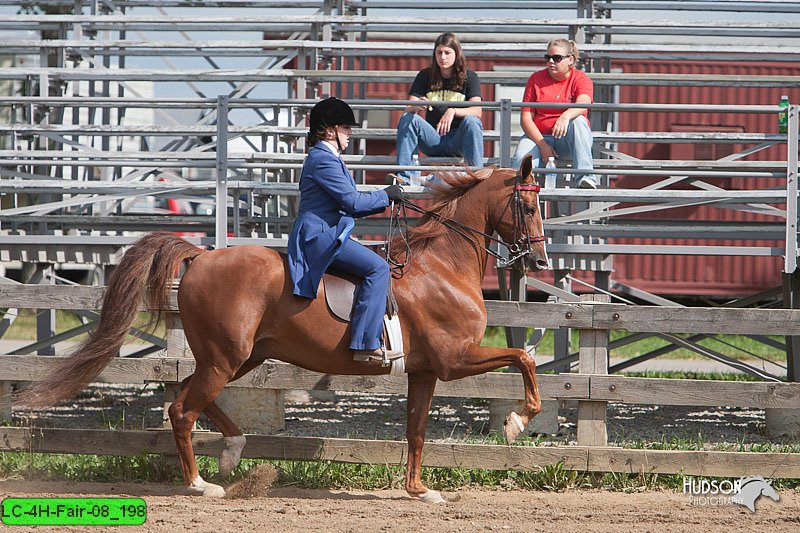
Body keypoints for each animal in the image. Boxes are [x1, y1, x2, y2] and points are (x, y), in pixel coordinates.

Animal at [21, 155, 552, 502]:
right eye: (528, 207)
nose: (541, 260)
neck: (442, 266)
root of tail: (202, 256)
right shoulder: (454, 358)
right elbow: (523, 358)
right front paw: (517, 421)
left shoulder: (424, 371)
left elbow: (417, 430)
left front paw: (420, 491)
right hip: (226, 358)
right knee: (182, 409)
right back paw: (201, 484)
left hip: (237, 357)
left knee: (191, 397)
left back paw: (233, 453)